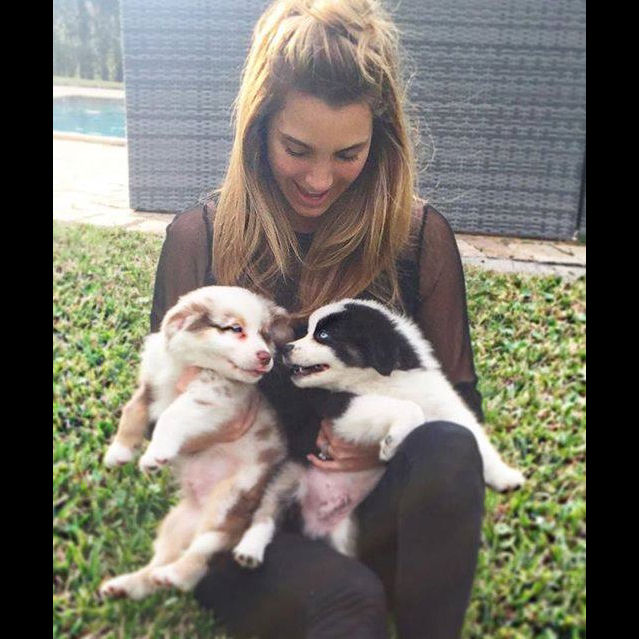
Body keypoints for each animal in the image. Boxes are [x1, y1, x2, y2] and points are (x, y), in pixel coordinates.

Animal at [99, 286, 290, 599]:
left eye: (265, 335)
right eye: (235, 328)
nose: (265, 356)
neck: (186, 364)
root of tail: (201, 509)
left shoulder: (213, 399)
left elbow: (171, 416)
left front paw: (155, 455)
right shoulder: (151, 383)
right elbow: (133, 410)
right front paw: (120, 451)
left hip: (228, 505)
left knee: (198, 560)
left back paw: (174, 575)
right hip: (175, 525)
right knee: (157, 566)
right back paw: (126, 585)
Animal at [232, 297, 524, 566]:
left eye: (323, 335)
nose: (285, 349)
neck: (381, 378)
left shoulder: (442, 403)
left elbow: (474, 435)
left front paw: (505, 476)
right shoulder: (339, 406)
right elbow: (403, 407)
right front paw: (393, 441)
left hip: (348, 528)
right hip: (287, 475)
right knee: (267, 513)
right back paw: (249, 550)